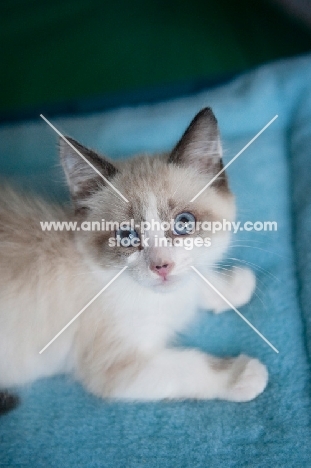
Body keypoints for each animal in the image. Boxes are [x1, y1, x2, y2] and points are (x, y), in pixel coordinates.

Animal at [0, 107, 268, 406]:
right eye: (127, 236)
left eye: (184, 222)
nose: (162, 266)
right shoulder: (120, 367)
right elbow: (190, 366)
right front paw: (243, 374)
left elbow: (199, 280)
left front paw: (233, 285)